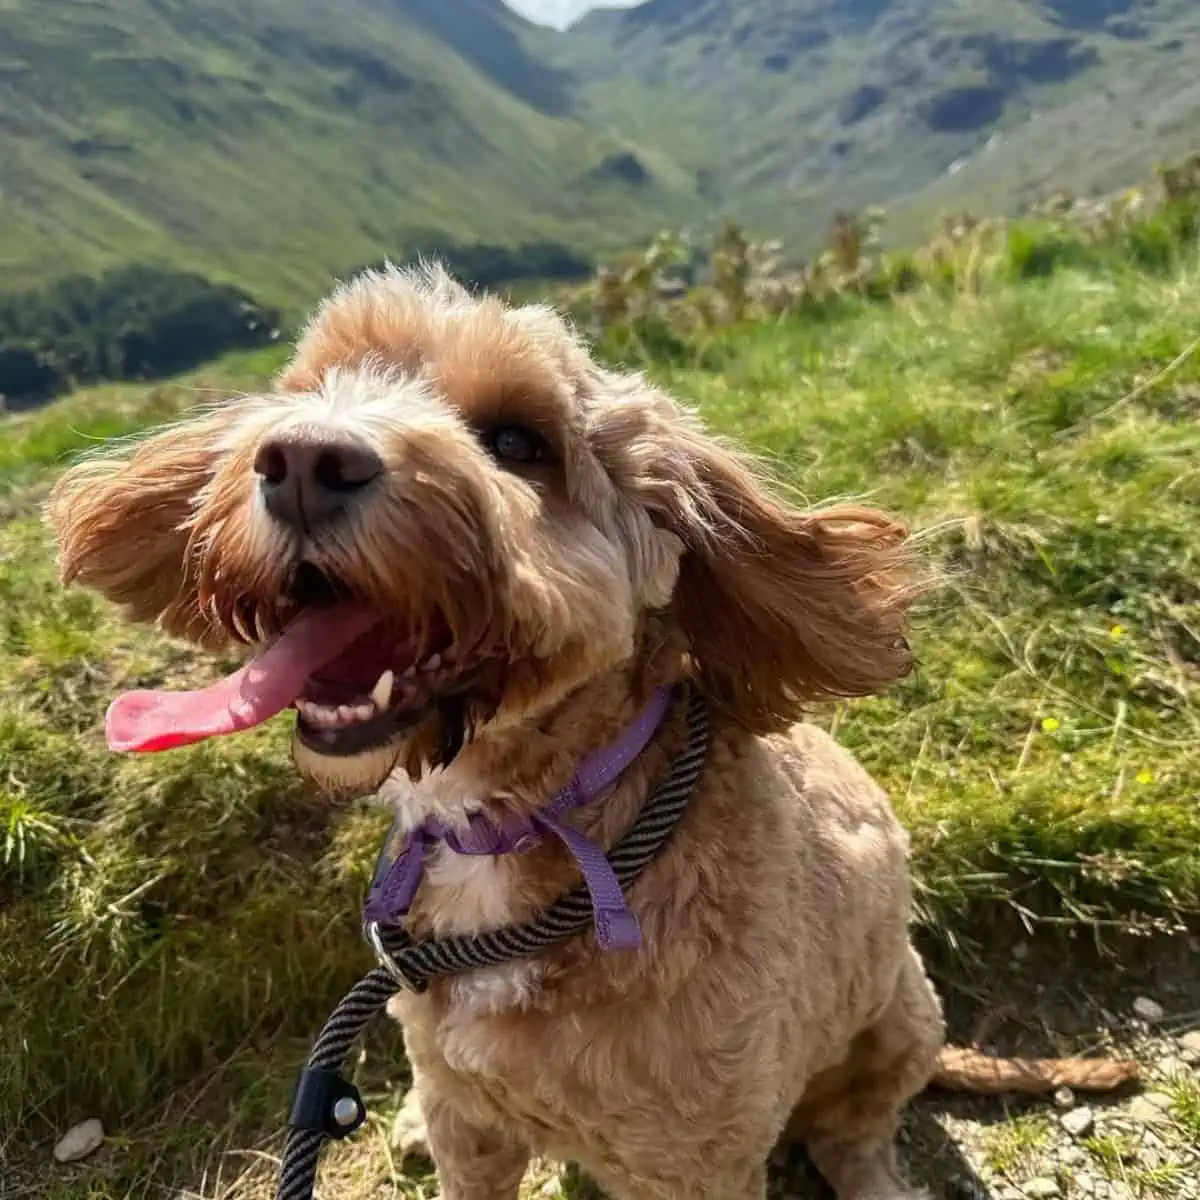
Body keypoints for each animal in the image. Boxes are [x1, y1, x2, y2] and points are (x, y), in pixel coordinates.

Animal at [44, 267, 1132, 1195]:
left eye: (520, 442)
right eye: (316, 386)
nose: (304, 460)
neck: (530, 823)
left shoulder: (697, 1161)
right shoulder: (469, 1116)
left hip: (896, 1021)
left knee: (853, 1132)